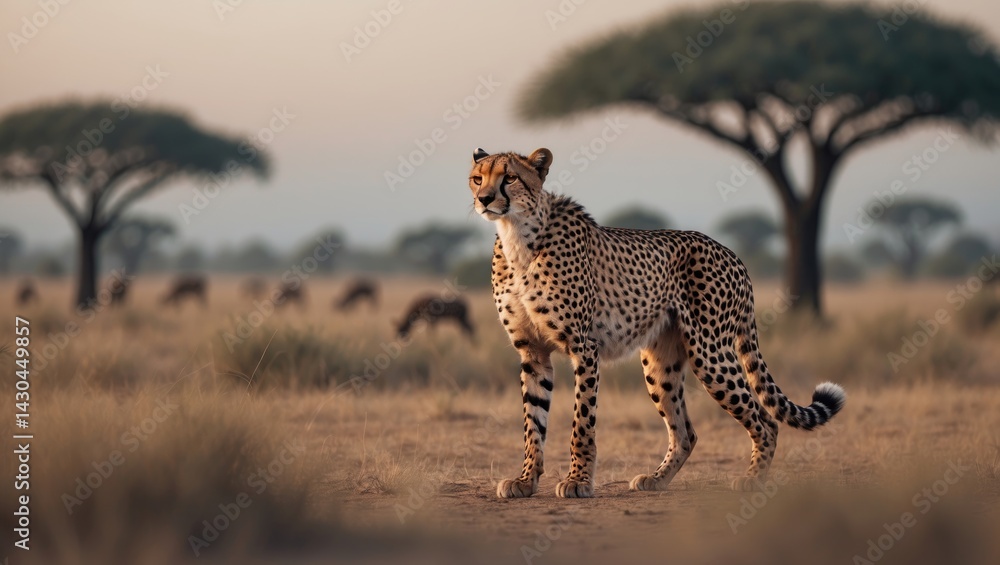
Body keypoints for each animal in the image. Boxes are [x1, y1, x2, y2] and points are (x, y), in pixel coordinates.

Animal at [467, 147, 845, 499]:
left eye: (509, 177)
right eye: (477, 178)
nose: (484, 199)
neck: (517, 236)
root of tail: (732, 253)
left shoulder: (584, 347)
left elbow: (582, 422)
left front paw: (578, 482)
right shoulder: (533, 353)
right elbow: (533, 423)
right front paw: (525, 480)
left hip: (710, 354)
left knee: (766, 422)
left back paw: (752, 480)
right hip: (660, 362)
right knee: (686, 432)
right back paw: (657, 479)